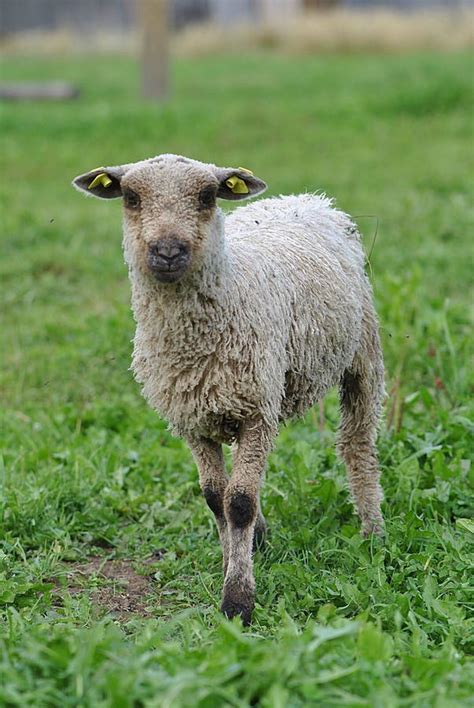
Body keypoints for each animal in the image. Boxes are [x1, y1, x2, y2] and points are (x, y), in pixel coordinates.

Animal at [74, 155, 386, 624]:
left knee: (357, 445)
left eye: (207, 196)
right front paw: (230, 562)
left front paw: (238, 600)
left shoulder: (257, 412)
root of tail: (307, 199)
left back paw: (373, 532)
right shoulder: (190, 418)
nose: (168, 252)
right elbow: (214, 498)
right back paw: (261, 537)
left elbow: (238, 502)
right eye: (130, 197)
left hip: (361, 352)